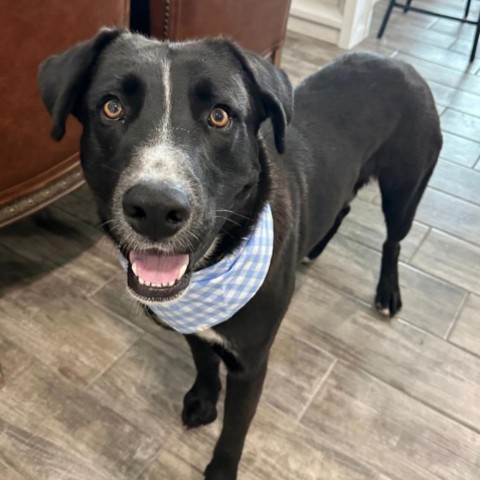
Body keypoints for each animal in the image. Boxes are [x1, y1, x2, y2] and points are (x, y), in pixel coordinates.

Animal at [38, 31, 442, 480]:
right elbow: (204, 363)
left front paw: (221, 467)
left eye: (220, 116)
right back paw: (315, 248)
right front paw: (203, 400)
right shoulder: (193, 326)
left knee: (393, 241)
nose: (156, 208)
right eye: (112, 107)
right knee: (344, 206)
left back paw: (388, 292)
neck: (215, 265)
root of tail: (399, 63)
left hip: (405, 190)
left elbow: (235, 428)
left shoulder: (252, 363)